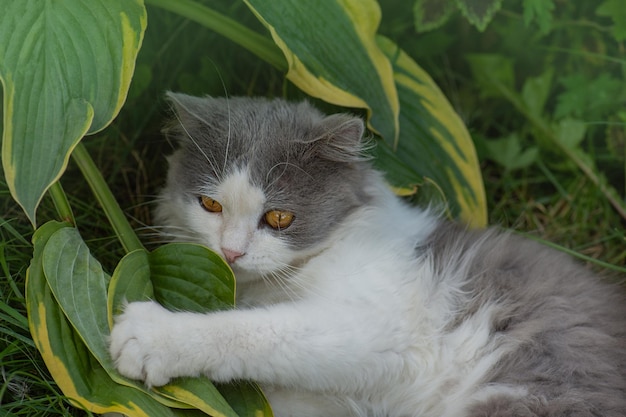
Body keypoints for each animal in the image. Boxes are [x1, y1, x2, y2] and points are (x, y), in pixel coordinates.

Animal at [109, 92, 624, 416]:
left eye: (279, 218)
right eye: (210, 205)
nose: (230, 253)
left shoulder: (378, 326)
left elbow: (258, 332)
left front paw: (155, 336)